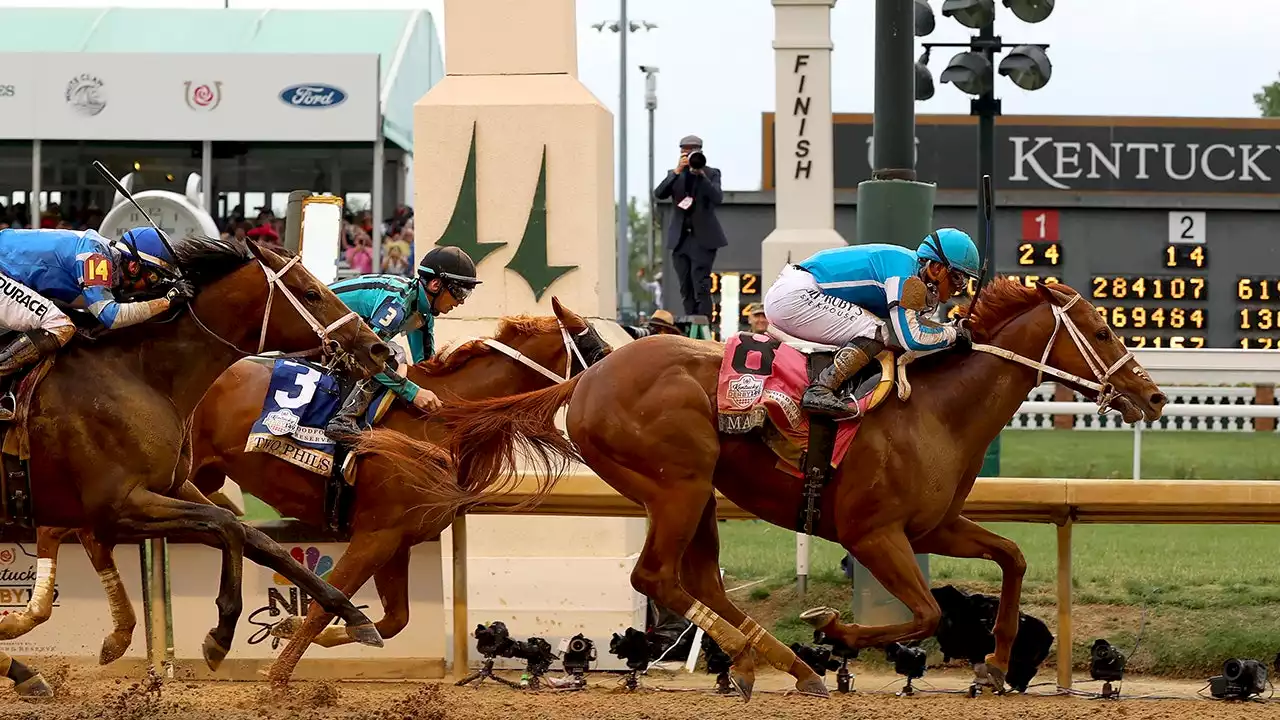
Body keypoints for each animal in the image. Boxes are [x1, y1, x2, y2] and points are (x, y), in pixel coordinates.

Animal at [0, 235, 394, 681]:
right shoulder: (118, 505)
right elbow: (228, 525)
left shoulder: (171, 488)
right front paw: (220, 635)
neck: (141, 374)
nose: (378, 348)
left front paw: (354, 616)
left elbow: (258, 539)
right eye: (311, 293)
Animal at [76, 295, 609, 676]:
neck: (440, 424)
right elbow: (327, 605)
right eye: (597, 348)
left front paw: (295, 624)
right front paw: (275, 679)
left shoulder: (398, 541)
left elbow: (391, 621)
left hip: (189, 477)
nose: (617, 380)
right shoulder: (375, 536)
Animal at [404, 278, 1167, 696]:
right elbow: (925, 613)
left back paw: (777, 664)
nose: (1154, 396)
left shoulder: (932, 526)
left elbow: (1011, 557)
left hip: (698, 493)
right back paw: (766, 658)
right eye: (1102, 328)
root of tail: (588, 377)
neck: (935, 410)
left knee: (697, 581)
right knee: (658, 577)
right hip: (677, 485)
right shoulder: (874, 533)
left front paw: (997, 663)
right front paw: (833, 628)